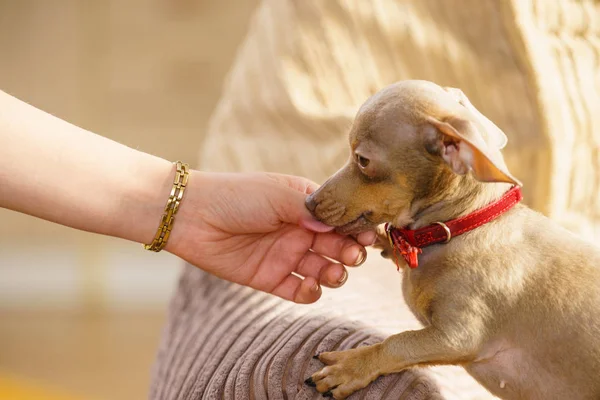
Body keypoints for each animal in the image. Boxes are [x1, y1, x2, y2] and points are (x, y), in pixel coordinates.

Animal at [304, 79, 600, 398]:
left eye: (362, 160)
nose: (308, 202)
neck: (462, 224)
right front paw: (384, 239)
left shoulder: (458, 336)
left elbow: (399, 341)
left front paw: (352, 365)